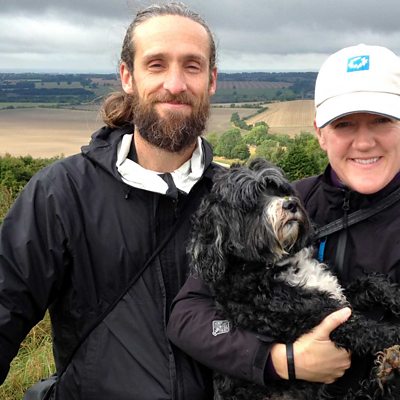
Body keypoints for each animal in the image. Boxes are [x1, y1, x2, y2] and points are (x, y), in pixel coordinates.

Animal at [188, 158, 400, 400]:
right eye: (249, 204)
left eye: (278, 189)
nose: (290, 205)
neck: (276, 264)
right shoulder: (318, 316)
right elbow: (365, 328)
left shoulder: (338, 294)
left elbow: (373, 283)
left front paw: (396, 296)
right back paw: (387, 370)